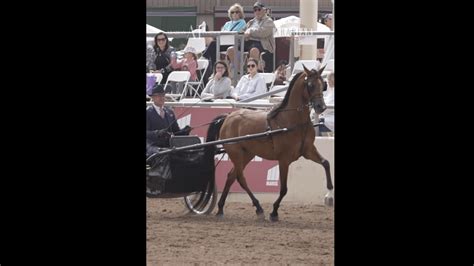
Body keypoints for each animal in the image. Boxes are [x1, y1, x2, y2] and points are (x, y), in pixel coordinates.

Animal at [206, 65, 334, 221]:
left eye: (323, 85)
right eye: (310, 85)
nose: (321, 107)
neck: (294, 121)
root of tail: (228, 117)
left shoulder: (308, 150)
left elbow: (326, 163)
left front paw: (329, 193)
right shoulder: (284, 159)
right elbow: (284, 189)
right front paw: (274, 212)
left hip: (247, 154)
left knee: (231, 176)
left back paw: (221, 208)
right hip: (236, 153)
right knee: (240, 178)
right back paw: (258, 208)